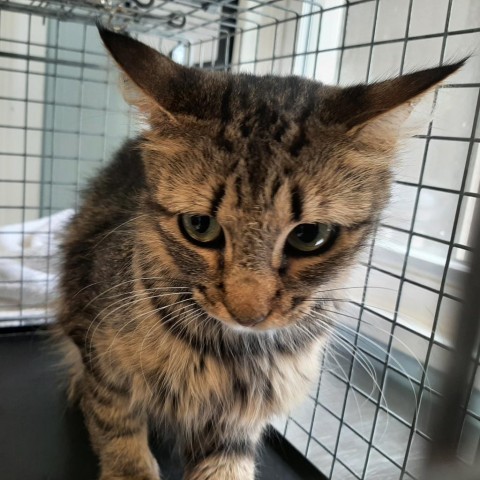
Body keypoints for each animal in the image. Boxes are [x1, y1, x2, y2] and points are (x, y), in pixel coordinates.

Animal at [57, 26, 464, 480]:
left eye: (310, 235)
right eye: (199, 226)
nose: (247, 313)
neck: (233, 355)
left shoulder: (240, 420)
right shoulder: (98, 349)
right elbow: (116, 424)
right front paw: (128, 463)